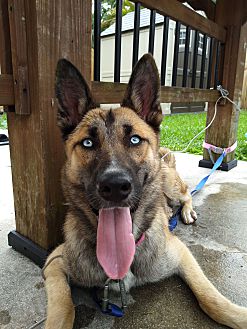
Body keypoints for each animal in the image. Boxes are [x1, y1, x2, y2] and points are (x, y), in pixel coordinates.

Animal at [43, 54, 247, 328]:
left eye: (135, 140)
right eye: (87, 143)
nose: (115, 186)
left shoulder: (182, 254)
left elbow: (210, 298)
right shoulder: (54, 263)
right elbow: (61, 307)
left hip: (169, 185)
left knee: (186, 195)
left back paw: (186, 211)